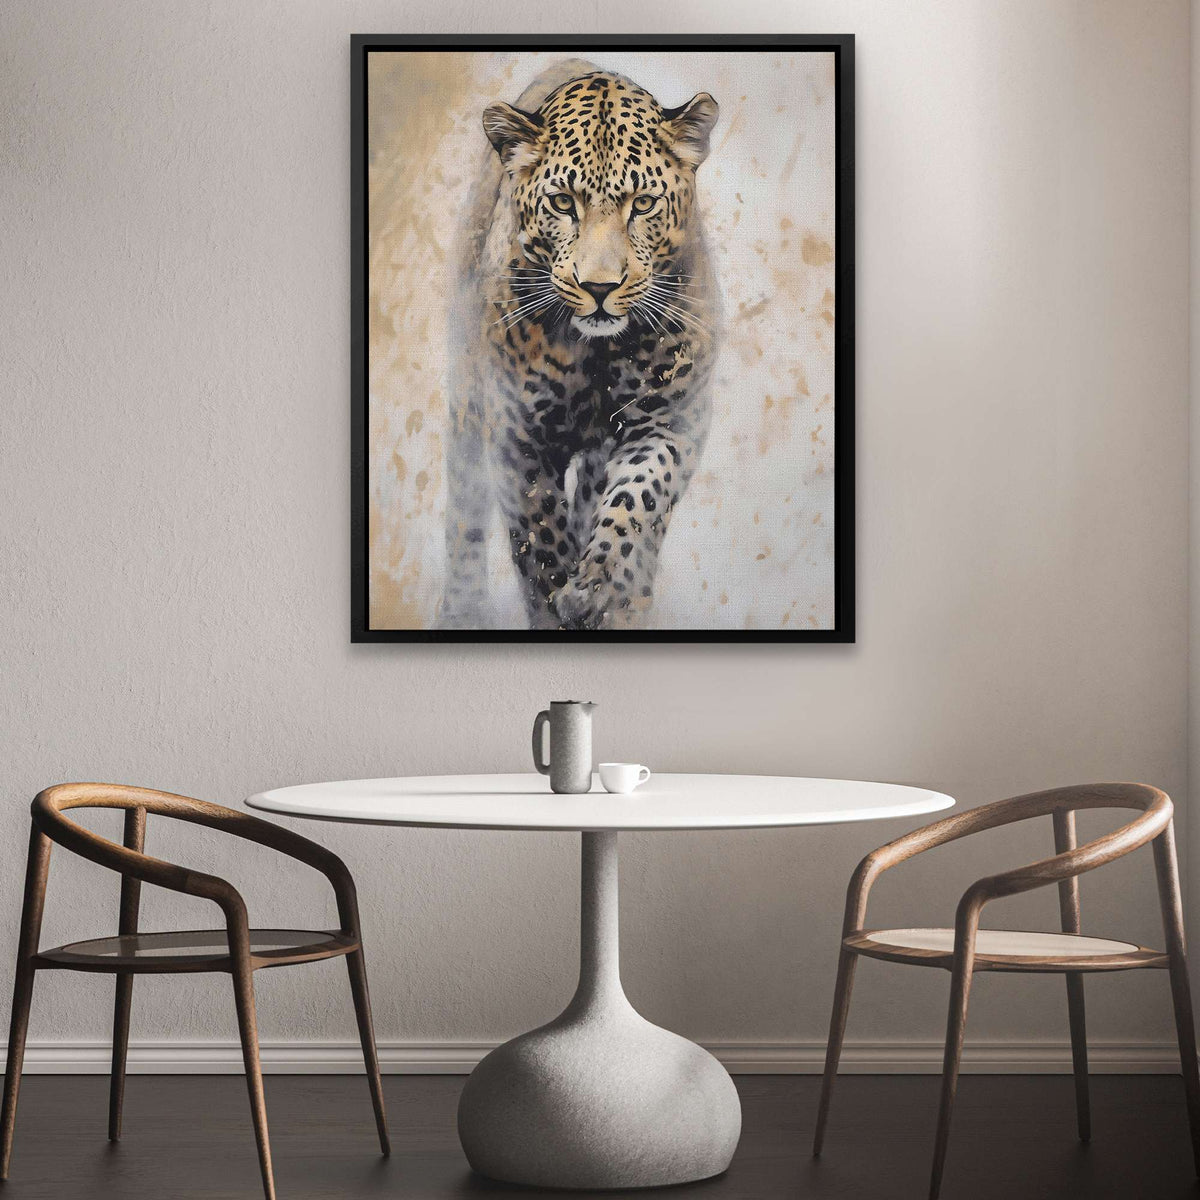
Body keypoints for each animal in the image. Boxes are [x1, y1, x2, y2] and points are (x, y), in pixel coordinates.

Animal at [441, 60, 719, 630]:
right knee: (464, 507)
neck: (596, 355)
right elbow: (541, 541)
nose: (599, 287)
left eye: (643, 204)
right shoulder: (518, 437)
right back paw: (462, 609)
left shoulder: (671, 420)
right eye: (563, 203)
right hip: (466, 400)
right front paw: (558, 604)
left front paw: (599, 588)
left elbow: (637, 501)